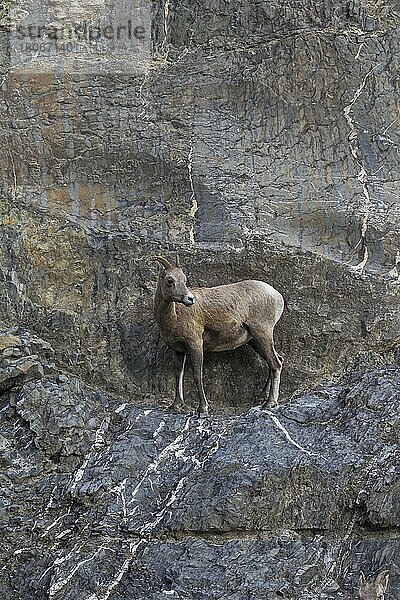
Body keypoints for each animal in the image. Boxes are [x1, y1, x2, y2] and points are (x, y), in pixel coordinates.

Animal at [152, 254, 284, 418]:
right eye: (170, 281)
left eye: (184, 279)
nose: (190, 299)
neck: (174, 316)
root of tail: (277, 296)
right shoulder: (179, 350)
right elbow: (178, 374)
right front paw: (175, 405)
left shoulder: (195, 345)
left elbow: (197, 374)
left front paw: (203, 409)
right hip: (254, 340)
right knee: (277, 360)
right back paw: (261, 398)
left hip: (262, 333)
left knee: (275, 364)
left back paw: (269, 403)